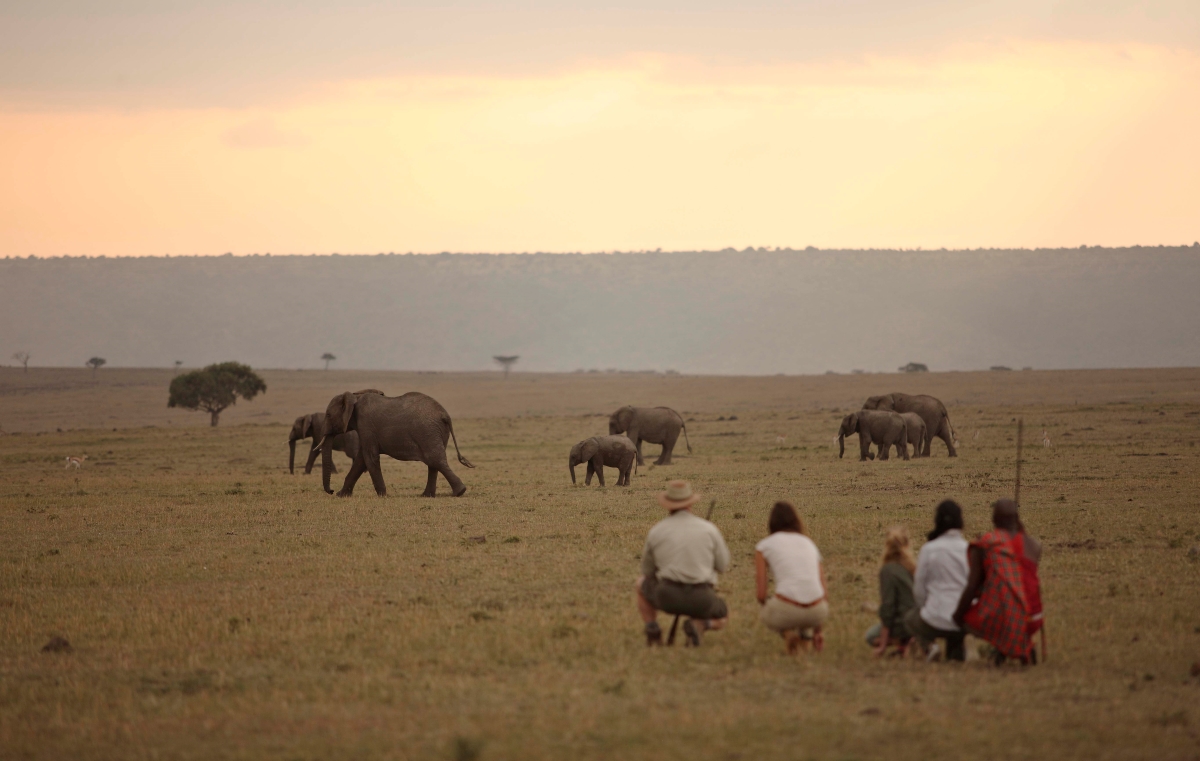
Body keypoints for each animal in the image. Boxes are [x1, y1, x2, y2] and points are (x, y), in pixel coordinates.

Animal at [319, 388, 472, 494]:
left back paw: (460, 492)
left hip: (428, 432)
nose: (331, 491)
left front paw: (382, 495)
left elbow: (369, 457)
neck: (355, 395)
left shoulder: (366, 425)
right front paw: (342, 495)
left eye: (328, 415)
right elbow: (361, 459)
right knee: (434, 463)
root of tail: (445, 415)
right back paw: (427, 495)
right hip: (435, 432)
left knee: (435, 460)